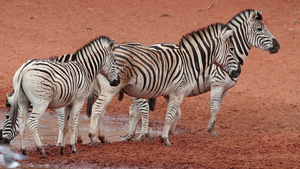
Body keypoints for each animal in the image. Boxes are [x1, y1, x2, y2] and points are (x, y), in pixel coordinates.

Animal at [122, 8, 282, 140]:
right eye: (260, 29)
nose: (277, 46)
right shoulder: (217, 84)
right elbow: (213, 109)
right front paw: (211, 132)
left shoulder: (226, 89)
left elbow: (217, 110)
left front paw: (213, 130)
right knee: (142, 108)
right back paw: (143, 134)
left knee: (133, 109)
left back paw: (132, 135)